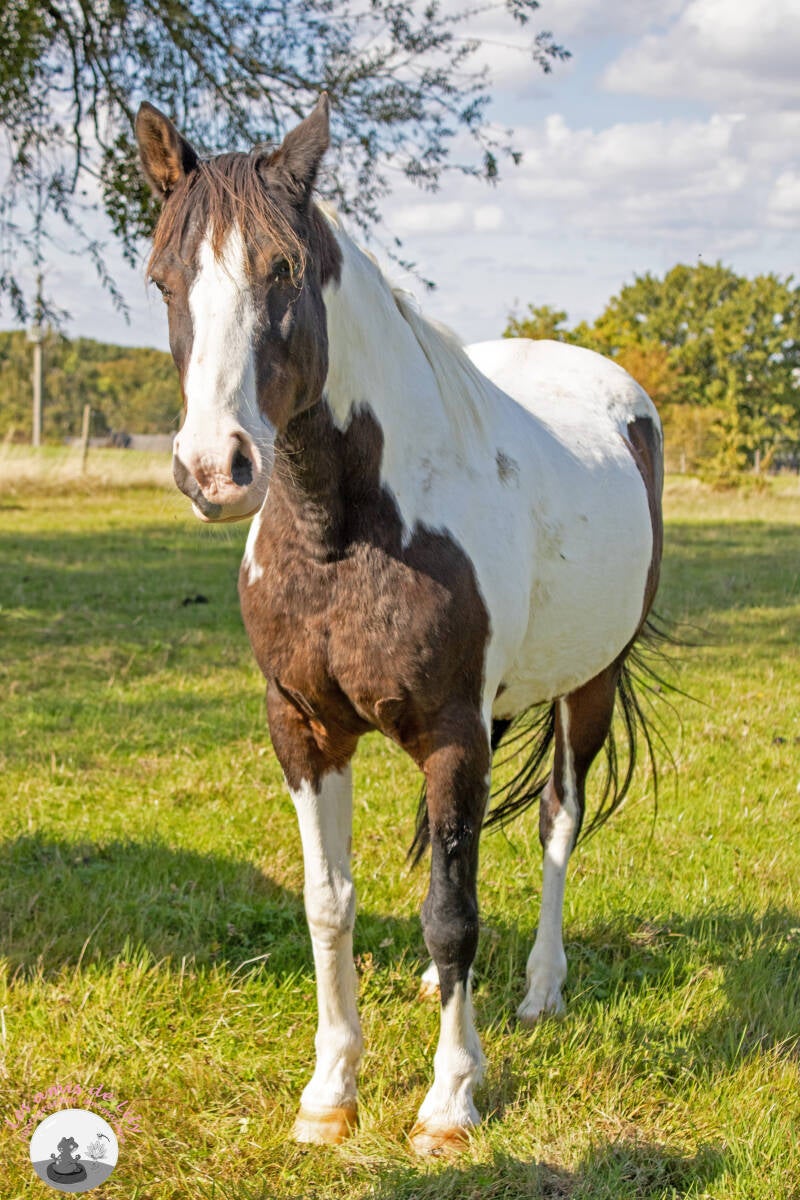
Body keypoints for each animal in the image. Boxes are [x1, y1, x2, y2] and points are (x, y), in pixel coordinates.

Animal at [135, 94, 664, 1155]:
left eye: (282, 269)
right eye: (164, 277)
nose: (215, 468)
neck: (346, 532)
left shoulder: (454, 732)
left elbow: (452, 910)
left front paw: (450, 1102)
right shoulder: (303, 728)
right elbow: (331, 903)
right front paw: (330, 1091)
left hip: (583, 687)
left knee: (558, 819)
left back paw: (540, 989)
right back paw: (441, 990)